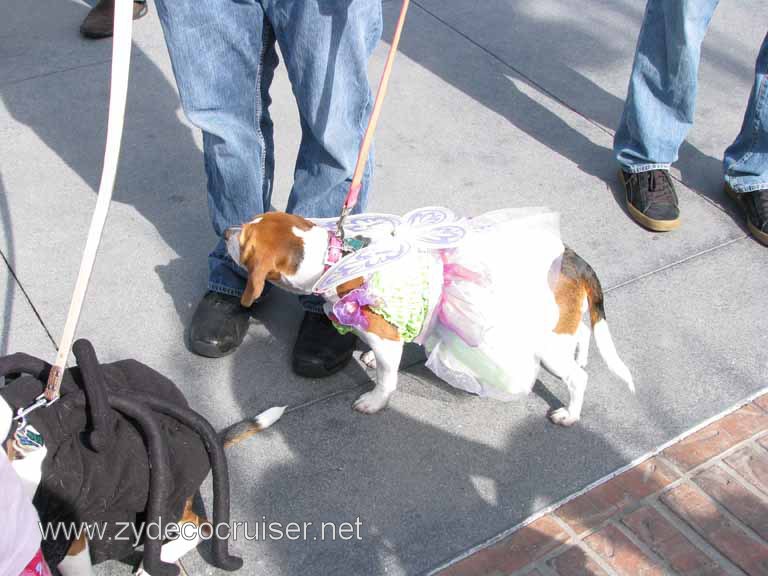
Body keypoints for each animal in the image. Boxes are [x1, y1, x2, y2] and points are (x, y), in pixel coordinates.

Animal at [228, 209, 636, 426]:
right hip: (562, 329)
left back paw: (569, 414)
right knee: (582, 341)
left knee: (579, 378)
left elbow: (387, 379)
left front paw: (375, 401)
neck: (339, 260)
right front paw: (366, 358)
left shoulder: (387, 342)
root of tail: (573, 259)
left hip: (547, 346)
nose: (228, 228)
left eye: (243, 239)